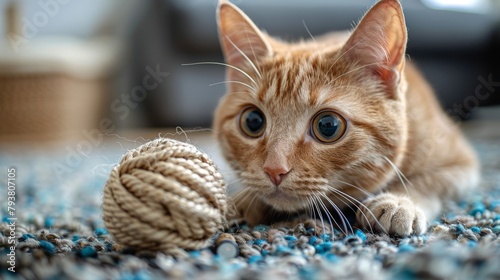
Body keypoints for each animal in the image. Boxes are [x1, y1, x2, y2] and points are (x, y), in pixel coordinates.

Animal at [213, 0, 478, 236]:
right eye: (253, 121)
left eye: (327, 126)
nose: (274, 170)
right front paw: (241, 200)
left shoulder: (463, 164)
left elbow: (428, 181)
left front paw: (399, 201)